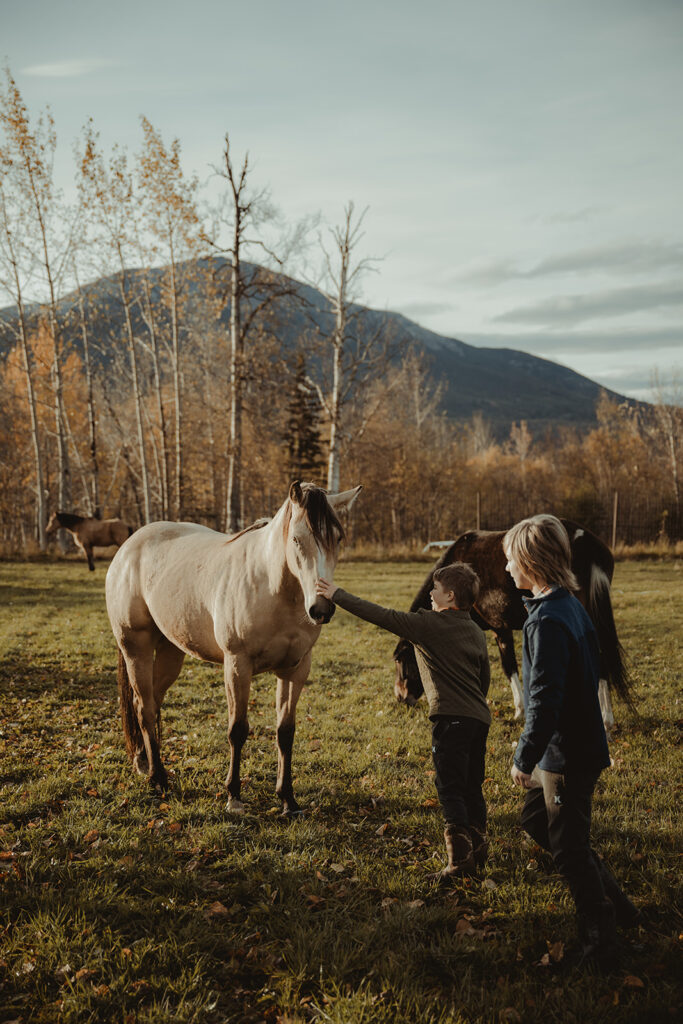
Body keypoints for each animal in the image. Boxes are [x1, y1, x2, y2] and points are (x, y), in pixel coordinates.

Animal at [105, 481, 362, 815]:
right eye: (296, 538)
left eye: (338, 538)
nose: (321, 609)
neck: (274, 589)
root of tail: (128, 547)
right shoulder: (238, 665)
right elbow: (237, 729)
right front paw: (234, 796)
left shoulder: (295, 669)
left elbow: (285, 732)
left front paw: (288, 799)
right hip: (136, 648)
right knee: (145, 708)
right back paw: (158, 779)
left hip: (172, 652)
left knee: (147, 703)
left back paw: (146, 764)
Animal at [393, 524, 634, 733]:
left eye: (400, 661)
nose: (400, 697)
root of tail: (588, 544)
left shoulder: (500, 629)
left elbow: (509, 667)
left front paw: (520, 711)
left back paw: (604, 719)